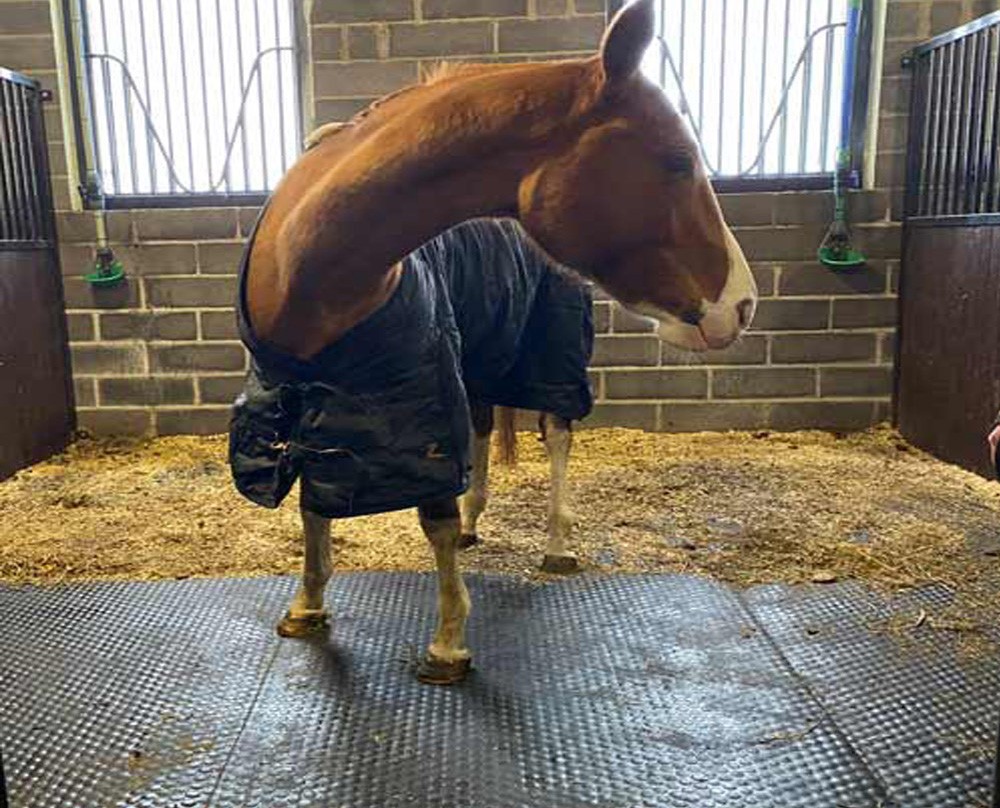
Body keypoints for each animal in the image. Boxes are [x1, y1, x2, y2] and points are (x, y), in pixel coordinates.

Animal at [230, 0, 757, 685]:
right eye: (676, 160)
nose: (741, 305)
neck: (307, 273)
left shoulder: (424, 421)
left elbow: (434, 520)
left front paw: (448, 644)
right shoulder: (301, 405)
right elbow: (313, 507)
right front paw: (306, 608)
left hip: (550, 361)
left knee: (556, 435)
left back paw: (557, 546)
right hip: (479, 362)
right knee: (483, 434)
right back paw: (478, 524)